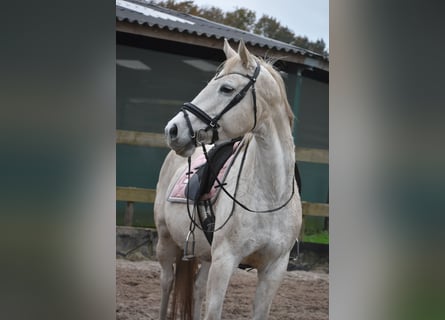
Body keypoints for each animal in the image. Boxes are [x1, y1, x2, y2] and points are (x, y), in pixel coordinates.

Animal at [153, 38, 302, 318]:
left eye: (226, 88)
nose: (173, 129)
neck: (270, 195)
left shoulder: (273, 269)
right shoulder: (224, 262)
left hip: (205, 255)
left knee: (197, 288)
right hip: (166, 241)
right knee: (167, 283)